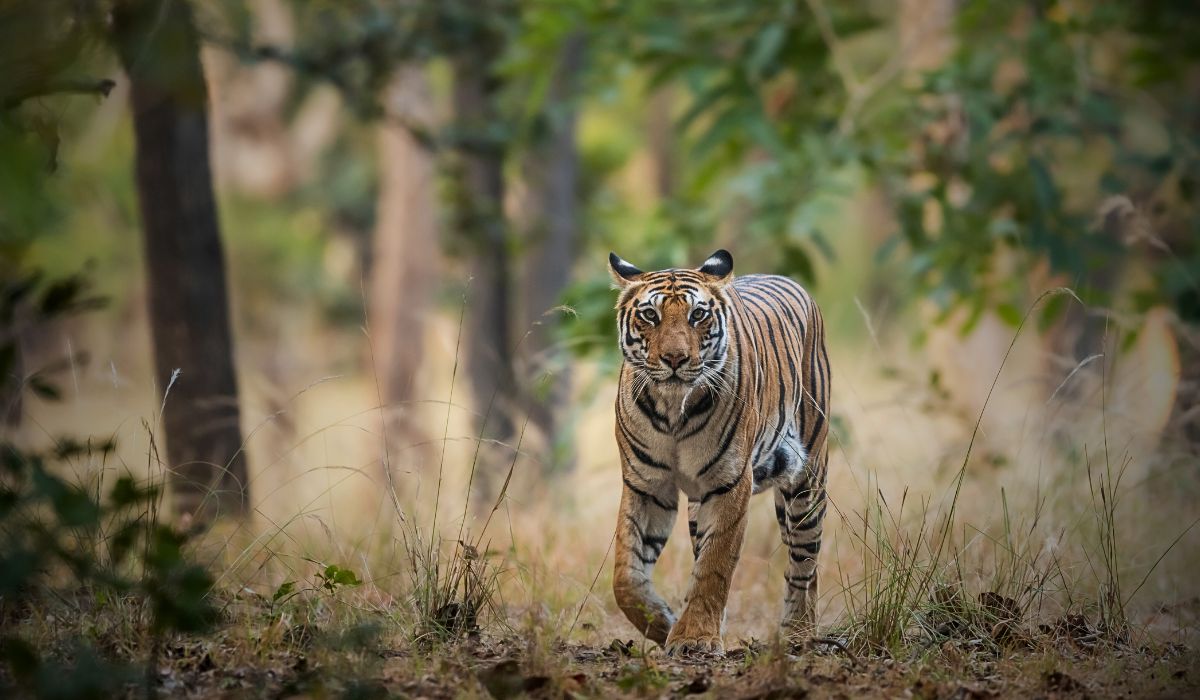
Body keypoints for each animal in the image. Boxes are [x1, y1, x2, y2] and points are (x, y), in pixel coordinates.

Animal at [609, 250, 825, 657]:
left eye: (697, 315)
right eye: (650, 315)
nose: (675, 358)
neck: (673, 408)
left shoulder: (729, 482)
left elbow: (715, 564)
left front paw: (694, 637)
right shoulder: (646, 485)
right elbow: (626, 575)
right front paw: (663, 623)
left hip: (808, 480)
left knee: (804, 564)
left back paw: (799, 634)